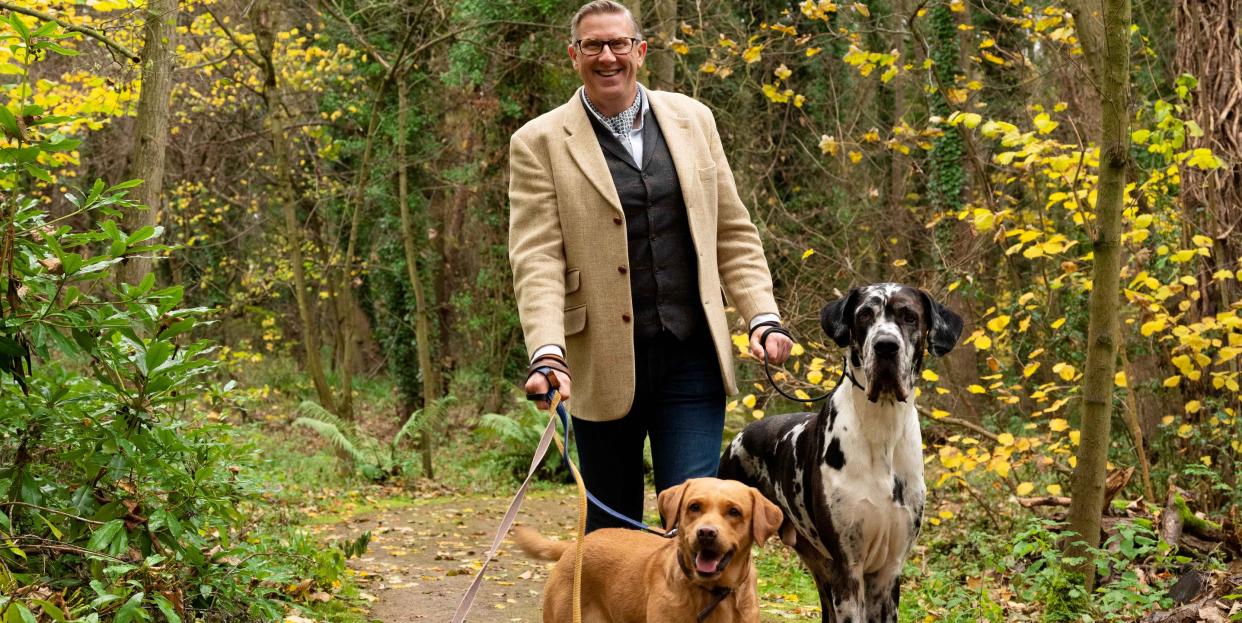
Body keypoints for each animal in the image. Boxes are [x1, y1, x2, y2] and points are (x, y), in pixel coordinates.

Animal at [715, 284, 963, 620]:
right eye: (865, 315)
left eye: (910, 316)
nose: (886, 346)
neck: (881, 429)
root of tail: (738, 436)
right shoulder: (849, 568)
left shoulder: (888, 574)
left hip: (821, 565)